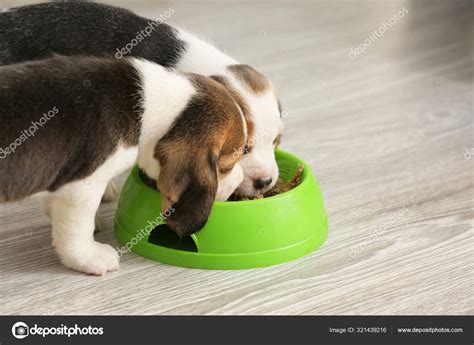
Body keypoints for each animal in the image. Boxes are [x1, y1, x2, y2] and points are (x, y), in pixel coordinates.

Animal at [1, 54, 248, 274]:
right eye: (227, 165)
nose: (240, 181)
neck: (146, 106)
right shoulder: (84, 187)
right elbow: (78, 226)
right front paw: (89, 257)